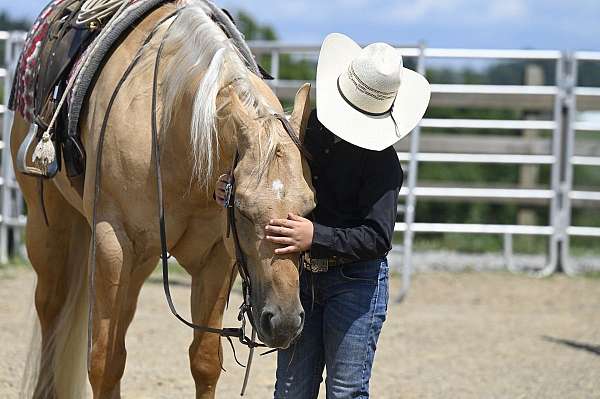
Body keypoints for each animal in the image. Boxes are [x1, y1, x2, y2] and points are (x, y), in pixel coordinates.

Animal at [11, 1, 316, 398]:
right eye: (244, 211)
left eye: (309, 208)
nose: (284, 321)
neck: (169, 127)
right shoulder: (113, 244)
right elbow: (103, 362)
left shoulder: (216, 256)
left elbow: (204, 360)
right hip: (49, 229)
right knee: (51, 311)